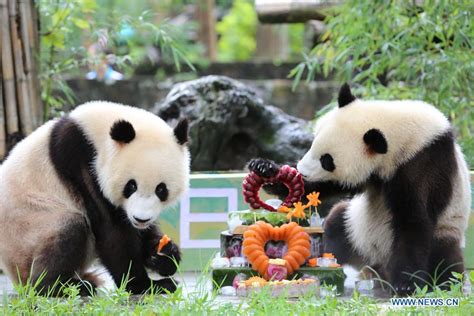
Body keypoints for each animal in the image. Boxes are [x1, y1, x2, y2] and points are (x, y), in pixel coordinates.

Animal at [0, 102, 189, 296]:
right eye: (131, 186)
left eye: (161, 189)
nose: (141, 219)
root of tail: (14, 275)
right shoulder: (82, 164)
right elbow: (112, 229)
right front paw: (147, 285)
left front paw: (164, 255)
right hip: (30, 229)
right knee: (69, 228)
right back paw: (63, 286)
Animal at [248, 83, 470, 294]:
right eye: (313, 143)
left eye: (327, 160)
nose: (302, 170)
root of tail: (376, 268)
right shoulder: (371, 174)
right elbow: (318, 187)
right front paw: (265, 168)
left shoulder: (422, 164)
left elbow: (414, 221)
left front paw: (406, 284)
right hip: (354, 228)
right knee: (337, 225)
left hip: (446, 229)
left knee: (444, 256)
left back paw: (444, 281)